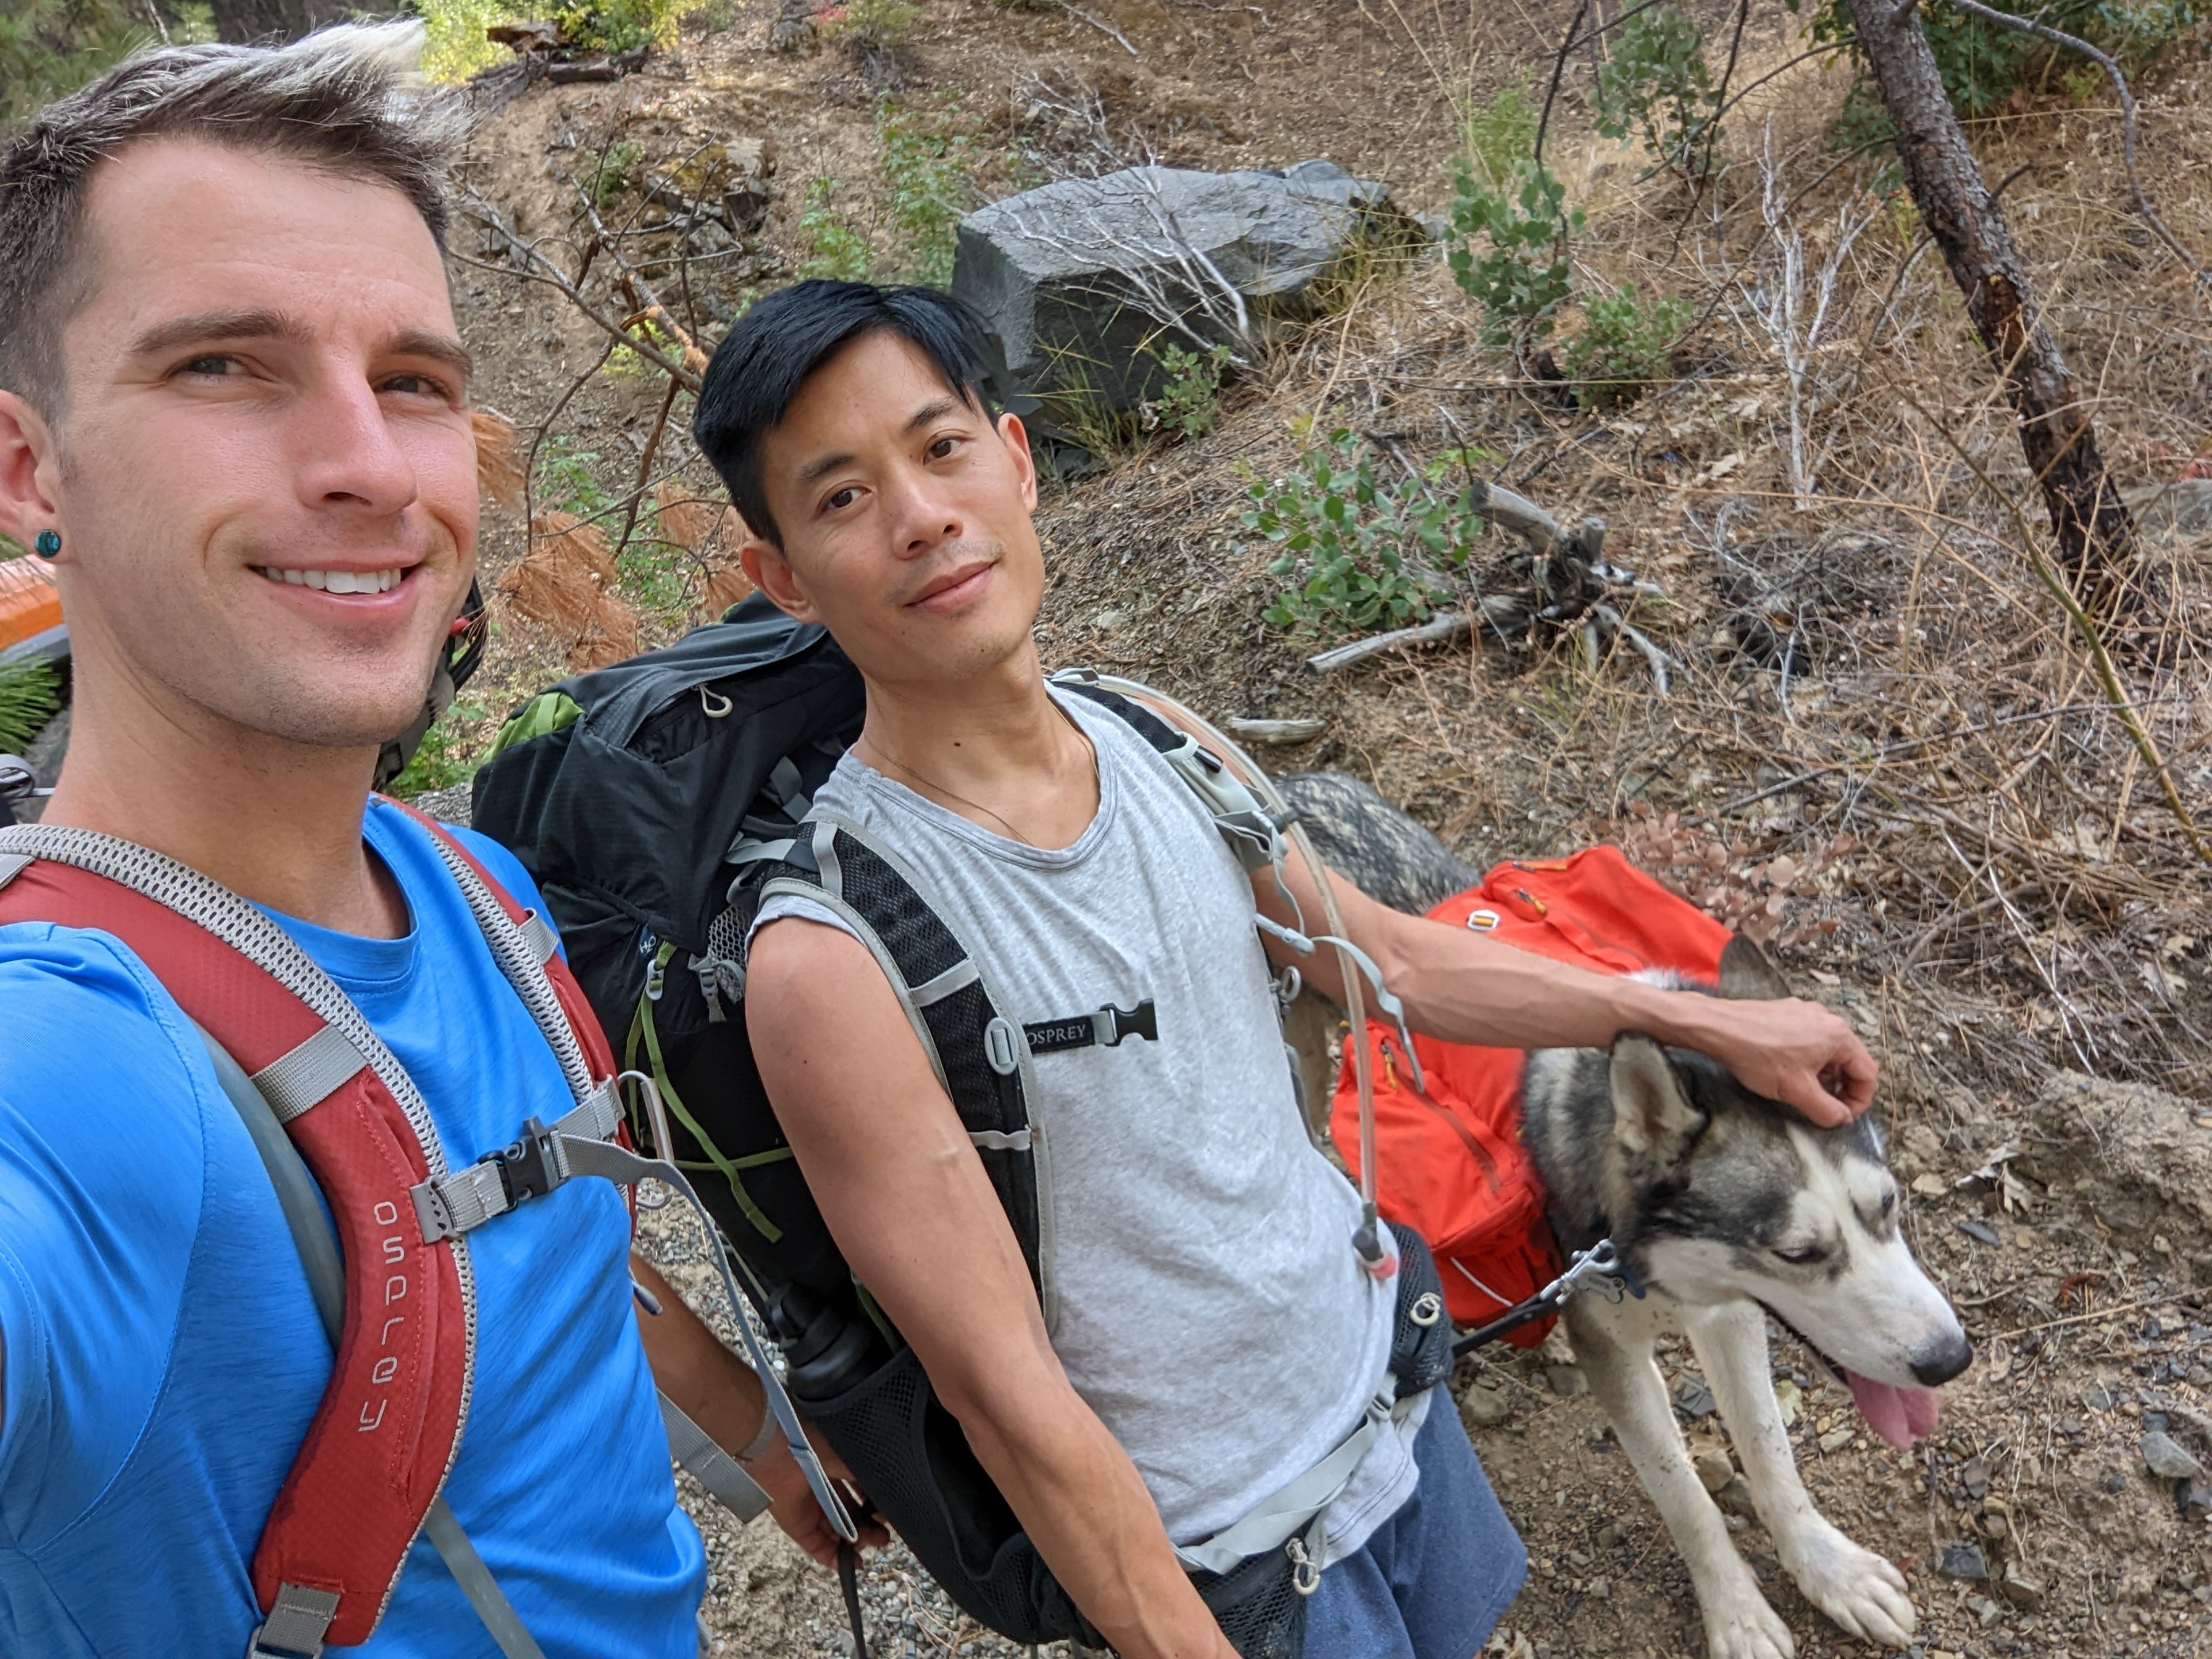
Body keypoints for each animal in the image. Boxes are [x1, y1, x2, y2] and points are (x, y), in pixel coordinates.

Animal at [1274, 774, 1982, 1654]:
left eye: (1888, 1205)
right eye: (1798, 1254)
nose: (1951, 1359)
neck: (1648, 1266)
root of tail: (1297, 785)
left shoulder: (1729, 1318)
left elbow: (1772, 1456)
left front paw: (1830, 1570)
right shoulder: (1615, 1348)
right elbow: (1687, 1498)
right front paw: (1738, 1614)